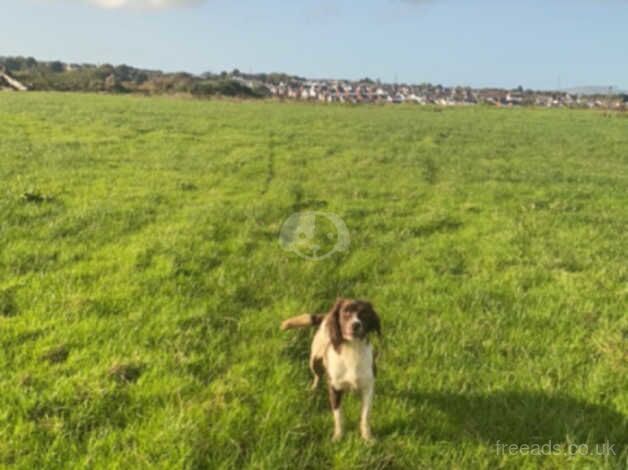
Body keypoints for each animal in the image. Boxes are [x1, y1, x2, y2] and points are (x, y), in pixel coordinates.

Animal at [280, 298, 380, 440]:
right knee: (317, 376)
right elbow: (338, 416)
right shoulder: (335, 388)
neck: (352, 350)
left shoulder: (368, 388)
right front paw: (338, 437)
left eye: (364, 313)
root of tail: (326, 316)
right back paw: (313, 389)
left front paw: (367, 438)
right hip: (314, 362)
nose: (355, 325)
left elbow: (365, 416)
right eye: (345, 312)